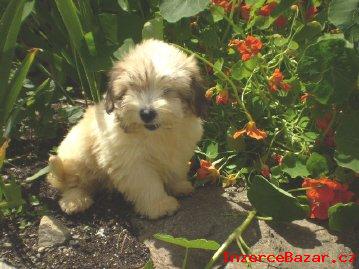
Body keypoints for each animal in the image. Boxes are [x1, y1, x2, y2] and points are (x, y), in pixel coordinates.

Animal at [46, 40, 207, 220]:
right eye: (134, 88)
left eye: (167, 90)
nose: (146, 113)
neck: (157, 133)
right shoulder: (134, 163)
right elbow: (147, 184)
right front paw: (159, 205)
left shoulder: (180, 148)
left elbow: (176, 169)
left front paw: (179, 186)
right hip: (77, 156)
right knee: (73, 182)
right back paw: (75, 200)